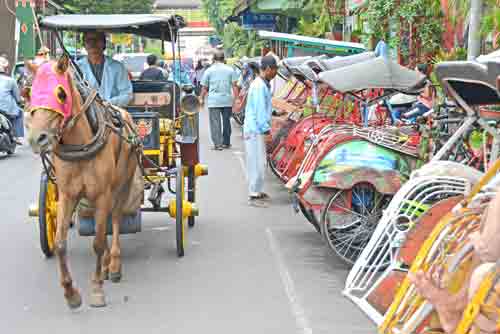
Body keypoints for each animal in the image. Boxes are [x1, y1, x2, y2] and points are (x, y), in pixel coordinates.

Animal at [27, 56, 141, 310]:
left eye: (61, 94)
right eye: (29, 93)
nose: (37, 138)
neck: (80, 144)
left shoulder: (103, 193)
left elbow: (97, 241)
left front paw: (97, 290)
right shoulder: (67, 195)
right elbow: (60, 243)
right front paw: (71, 293)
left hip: (121, 183)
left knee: (115, 218)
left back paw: (114, 263)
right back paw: (107, 263)